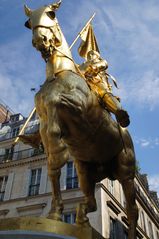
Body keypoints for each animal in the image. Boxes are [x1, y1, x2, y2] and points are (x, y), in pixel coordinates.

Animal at [23, 1, 138, 237]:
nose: (40, 41)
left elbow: (57, 102)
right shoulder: (45, 121)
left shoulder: (77, 105)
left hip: (126, 173)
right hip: (85, 171)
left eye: (51, 13)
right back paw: (82, 220)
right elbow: (52, 164)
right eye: (28, 23)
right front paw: (55, 213)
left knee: (132, 212)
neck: (59, 73)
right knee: (91, 202)